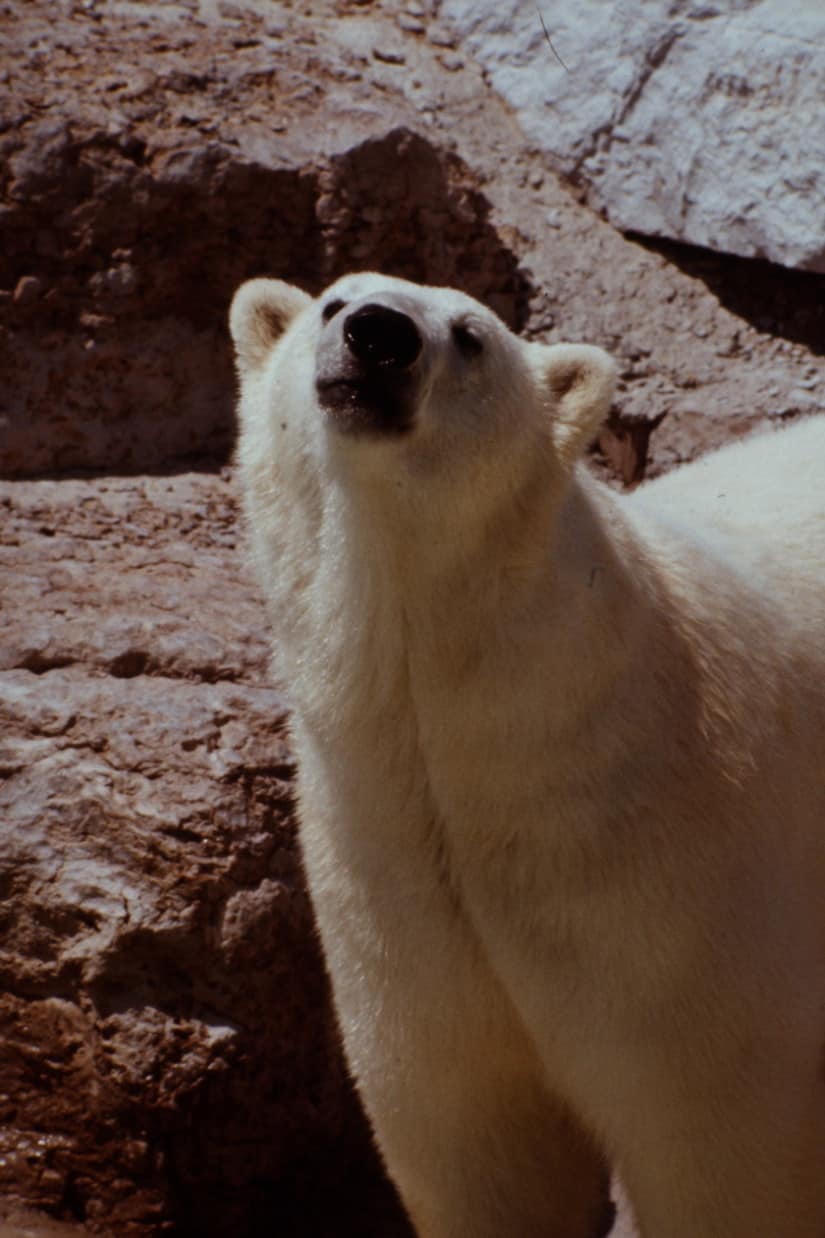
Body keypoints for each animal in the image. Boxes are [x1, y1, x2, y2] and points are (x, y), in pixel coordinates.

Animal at [230, 271, 825, 1238]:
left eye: (470, 335)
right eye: (334, 303)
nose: (378, 336)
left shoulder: (675, 890)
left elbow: (719, 1148)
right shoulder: (391, 876)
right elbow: (482, 1144)